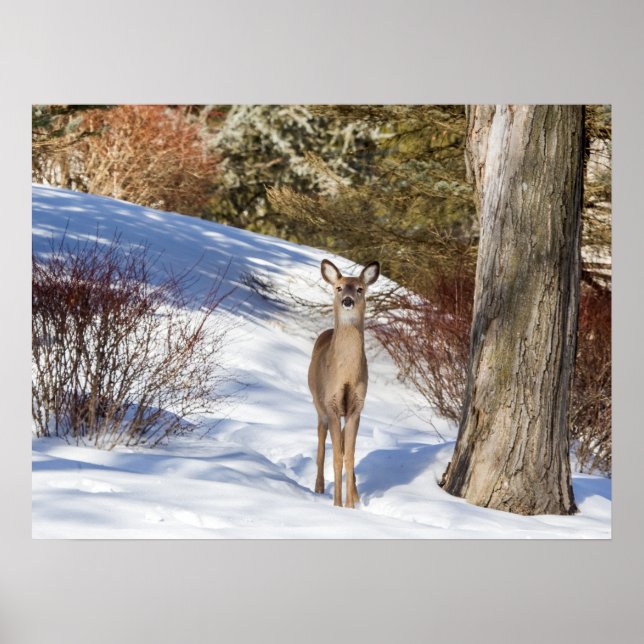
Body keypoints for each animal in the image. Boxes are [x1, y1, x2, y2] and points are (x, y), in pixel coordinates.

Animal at [308, 258, 380, 508]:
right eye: (339, 288)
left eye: (359, 288)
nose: (347, 300)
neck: (347, 376)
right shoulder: (331, 403)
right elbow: (337, 458)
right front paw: (337, 505)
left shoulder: (356, 407)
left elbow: (349, 456)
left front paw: (350, 505)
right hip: (319, 405)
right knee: (321, 444)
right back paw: (319, 487)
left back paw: (355, 494)